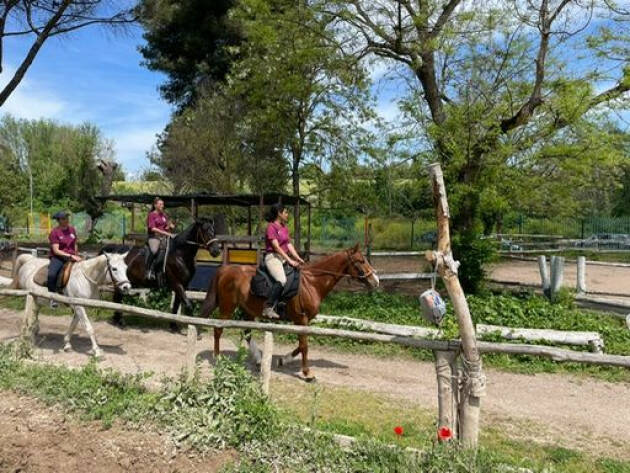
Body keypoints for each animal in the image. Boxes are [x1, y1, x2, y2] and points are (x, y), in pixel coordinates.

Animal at [201, 243, 380, 380]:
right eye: (361, 261)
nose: (376, 281)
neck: (312, 282)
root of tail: (225, 270)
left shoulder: (301, 321)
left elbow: (301, 345)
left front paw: (282, 361)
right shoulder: (302, 320)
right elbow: (305, 345)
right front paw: (307, 373)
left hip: (248, 310)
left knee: (247, 333)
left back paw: (258, 359)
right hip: (227, 308)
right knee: (218, 330)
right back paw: (217, 358)